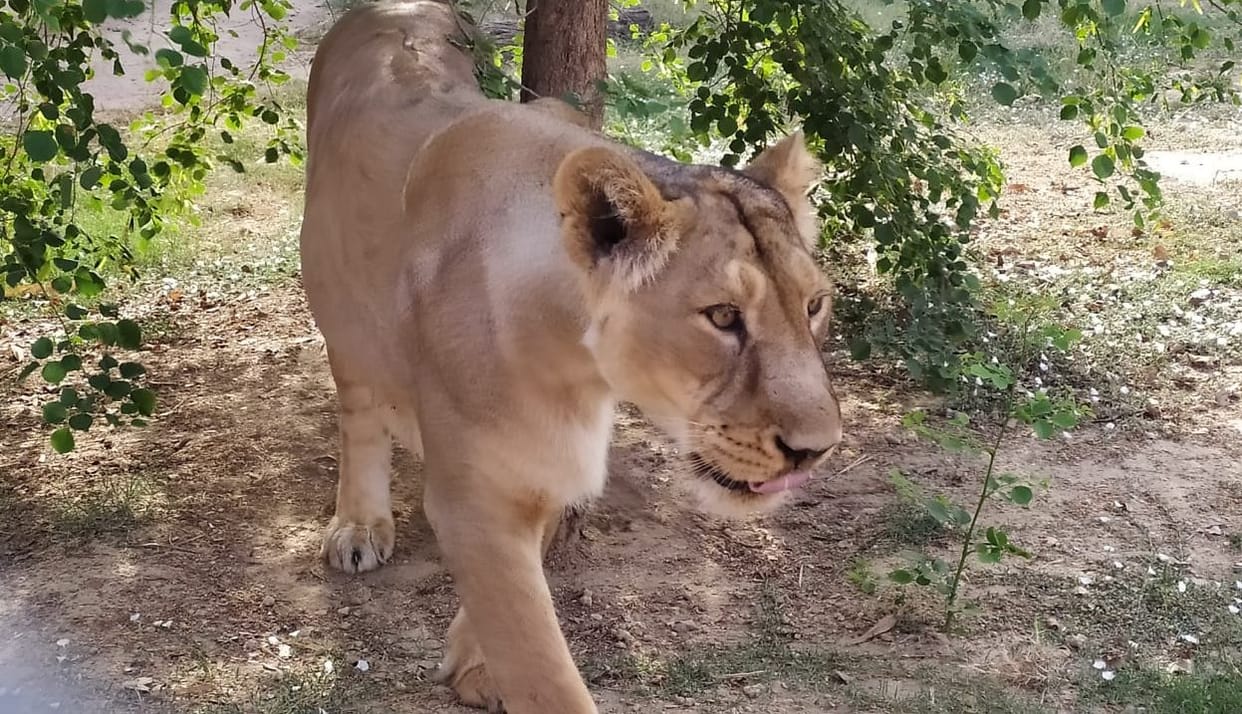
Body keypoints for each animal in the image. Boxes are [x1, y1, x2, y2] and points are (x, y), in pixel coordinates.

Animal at [298, 2, 843, 712]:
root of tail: (380, 10)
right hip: (336, 306)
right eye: (723, 317)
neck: (579, 370)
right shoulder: (478, 498)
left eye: (814, 305)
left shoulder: (545, 467)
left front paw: (475, 662)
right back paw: (361, 525)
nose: (817, 451)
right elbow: (541, 666)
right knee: (358, 406)